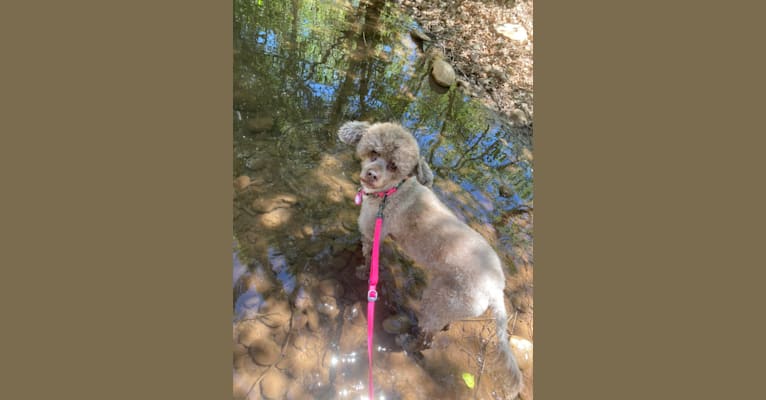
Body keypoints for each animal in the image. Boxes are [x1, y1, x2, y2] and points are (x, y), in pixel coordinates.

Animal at [340, 120, 524, 398]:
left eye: (394, 166)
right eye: (373, 152)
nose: (371, 175)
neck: (393, 191)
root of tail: (497, 289)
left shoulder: (373, 229)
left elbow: (367, 253)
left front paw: (362, 271)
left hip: (438, 300)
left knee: (427, 338)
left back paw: (406, 342)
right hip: (450, 305)